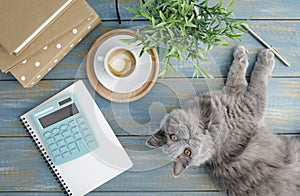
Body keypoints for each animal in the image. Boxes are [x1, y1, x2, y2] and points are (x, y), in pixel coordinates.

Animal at [147, 46, 300, 196]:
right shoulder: (250, 105)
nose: (188, 140)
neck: (208, 122)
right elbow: (256, 78)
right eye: (187, 152)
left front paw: (240, 52)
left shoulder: (231, 94)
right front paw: (265, 57)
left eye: (173, 137)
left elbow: (234, 74)